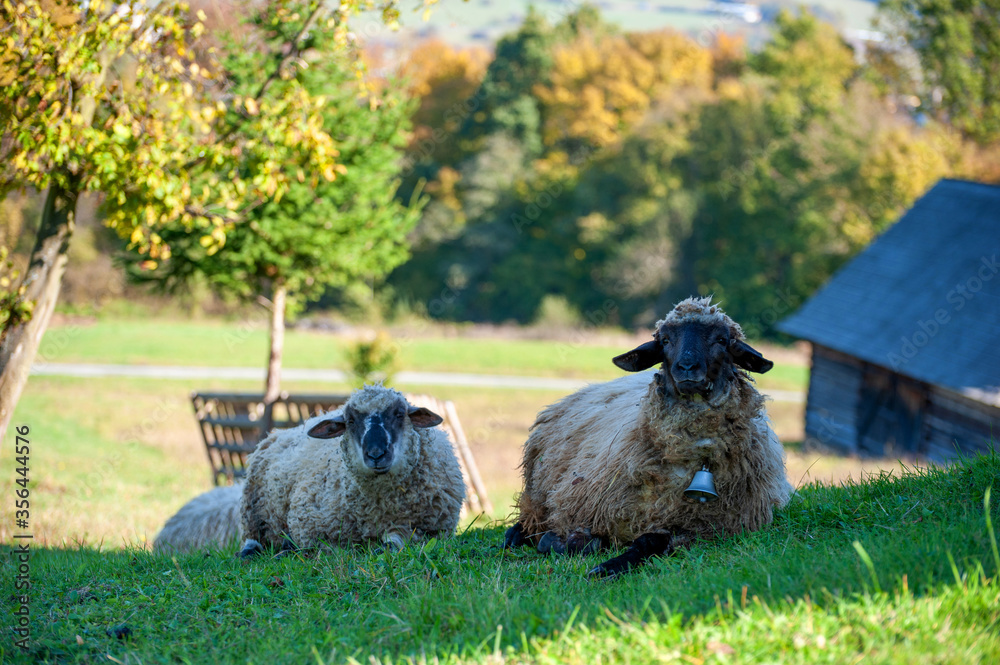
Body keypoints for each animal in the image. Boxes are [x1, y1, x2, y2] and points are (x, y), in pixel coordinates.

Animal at [237, 384, 466, 557]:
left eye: (400, 414)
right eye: (350, 421)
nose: (376, 454)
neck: (381, 509)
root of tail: (277, 432)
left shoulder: (431, 529)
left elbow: (396, 541)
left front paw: (384, 546)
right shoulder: (309, 526)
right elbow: (328, 547)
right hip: (252, 512)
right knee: (252, 539)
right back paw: (253, 551)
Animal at [503, 296, 793, 577]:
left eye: (722, 340)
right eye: (665, 340)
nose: (687, 367)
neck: (697, 456)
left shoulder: (706, 529)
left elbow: (650, 541)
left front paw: (610, 566)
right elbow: (578, 539)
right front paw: (567, 543)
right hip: (538, 494)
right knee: (527, 521)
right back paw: (517, 536)